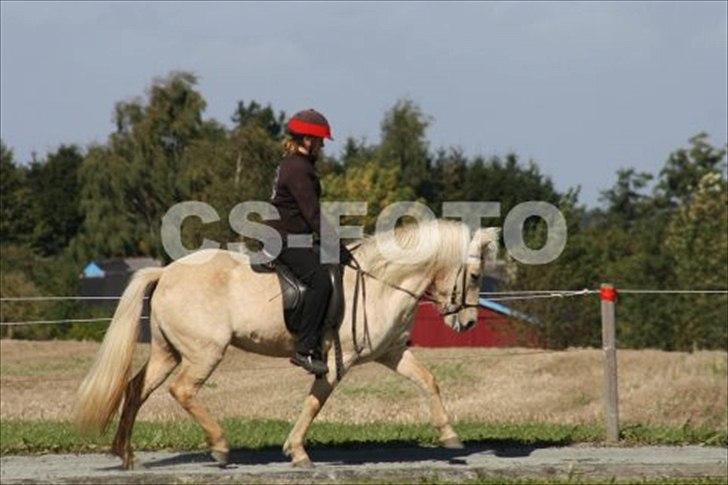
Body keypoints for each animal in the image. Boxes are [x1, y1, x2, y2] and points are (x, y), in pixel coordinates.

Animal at [74, 218, 500, 466]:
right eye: (476, 275)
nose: (468, 322)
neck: (381, 281)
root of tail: (166, 272)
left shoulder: (391, 353)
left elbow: (428, 381)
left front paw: (450, 437)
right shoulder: (337, 361)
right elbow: (315, 403)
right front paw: (297, 452)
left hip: (168, 352)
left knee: (135, 388)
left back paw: (126, 453)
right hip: (203, 352)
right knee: (182, 391)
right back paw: (220, 447)